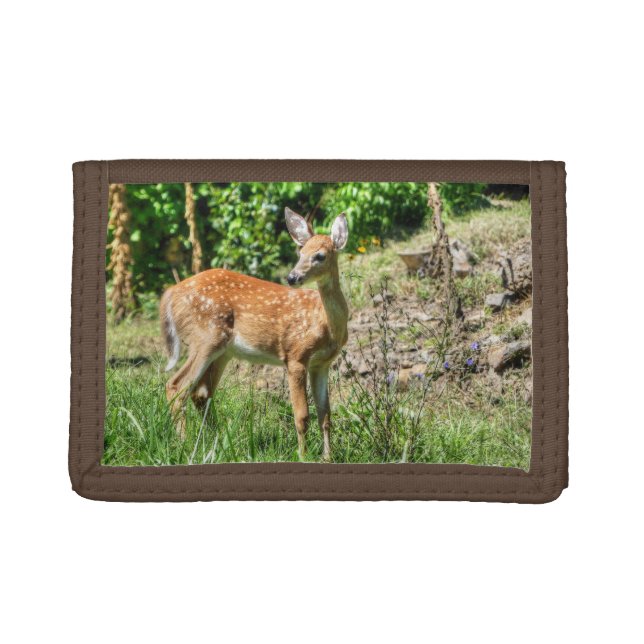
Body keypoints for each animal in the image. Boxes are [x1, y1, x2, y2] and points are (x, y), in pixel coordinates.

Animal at [160, 208, 349, 462]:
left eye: (319, 256)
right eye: (300, 252)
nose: (292, 277)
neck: (325, 323)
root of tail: (170, 293)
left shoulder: (321, 364)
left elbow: (325, 415)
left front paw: (327, 457)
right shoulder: (295, 355)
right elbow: (302, 416)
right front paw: (303, 456)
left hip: (223, 351)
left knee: (200, 392)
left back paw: (216, 441)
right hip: (205, 337)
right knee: (176, 386)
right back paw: (185, 446)